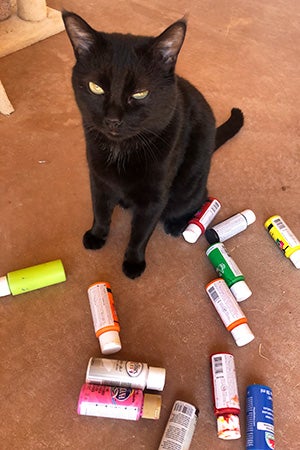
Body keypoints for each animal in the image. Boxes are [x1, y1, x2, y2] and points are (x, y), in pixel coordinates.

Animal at [62, 11, 244, 278]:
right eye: (96, 88)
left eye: (140, 93)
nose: (113, 119)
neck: (122, 151)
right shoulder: (98, 178)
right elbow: (100, 210)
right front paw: (97, 235)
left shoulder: (155, 197)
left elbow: (140, 233)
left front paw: (133, 262)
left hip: (187, 187)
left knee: (199, 198)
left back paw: (178, 224)